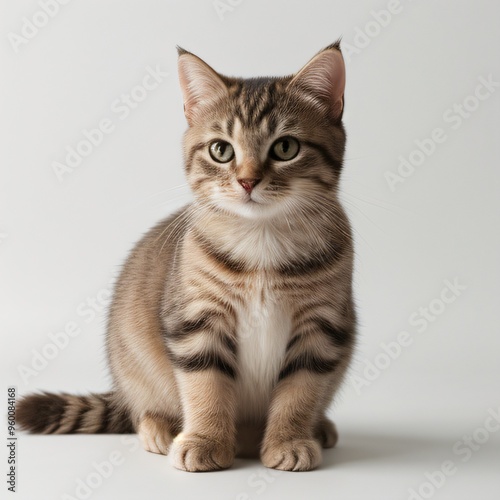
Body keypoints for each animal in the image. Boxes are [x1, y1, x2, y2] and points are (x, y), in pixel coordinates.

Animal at [17, 41, 356, 470]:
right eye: (221, 150)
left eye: (286, 147)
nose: (248, 181)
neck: (261, 240)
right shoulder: (197, 321)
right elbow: (205, 386)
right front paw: (207, 439)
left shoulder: (320, 330)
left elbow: (300, 392)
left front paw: (289, 439)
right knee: (142, 409)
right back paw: (160, 428)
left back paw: (316, 428)